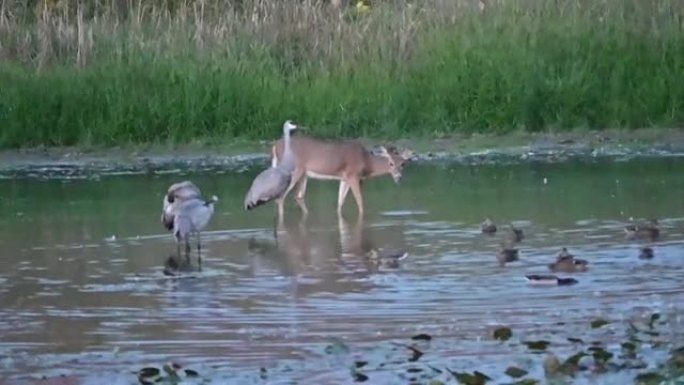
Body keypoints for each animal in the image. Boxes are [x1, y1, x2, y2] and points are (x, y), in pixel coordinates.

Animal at [270, 134, 414, 213]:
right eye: (390, 163)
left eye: (403, 164)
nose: (398, 177)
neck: (367, 162)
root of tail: (275, 146)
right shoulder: (354, 176)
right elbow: (360, 202)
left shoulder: (344, 178)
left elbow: (340, 202)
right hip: (293, 171)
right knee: (280, 198)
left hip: (303, 174)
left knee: (298, 196)